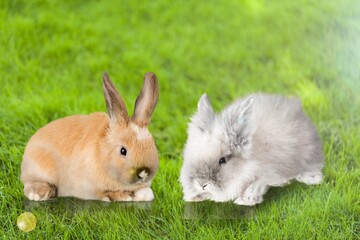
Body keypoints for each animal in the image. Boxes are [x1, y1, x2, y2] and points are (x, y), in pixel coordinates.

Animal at [20, 72, 159, 202]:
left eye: (153, 146)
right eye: (123, 151)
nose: (143, 172)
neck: (103, 155)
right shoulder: (88, 188)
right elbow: (105, 194)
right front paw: (123, 196)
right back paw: (41, 193)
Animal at [180, 93, 324, 205]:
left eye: (222, 160)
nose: (202, 184)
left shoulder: (271, 171)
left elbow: (260, 181)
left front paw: (246, 200)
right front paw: (193, 197)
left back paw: (311, 179)